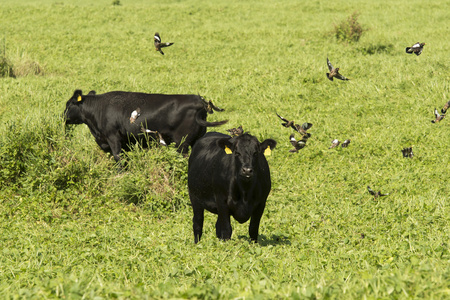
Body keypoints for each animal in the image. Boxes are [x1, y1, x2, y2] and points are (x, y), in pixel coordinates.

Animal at [63, 89, 229, 162]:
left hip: (182, 142)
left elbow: (118, 158)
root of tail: (200, 101)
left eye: (69, 104)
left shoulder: (113, 137)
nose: (63, 117)